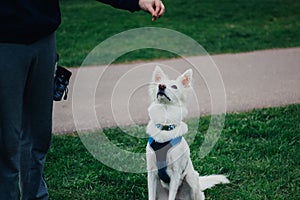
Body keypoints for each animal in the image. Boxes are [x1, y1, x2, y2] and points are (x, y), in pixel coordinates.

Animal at [146, 66, 229, 199]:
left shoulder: (175, 174)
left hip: (191, 178)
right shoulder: (151, 173)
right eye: (160, 84)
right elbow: (151, 196)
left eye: (174, 86)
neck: (165, 126)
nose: (161, 86)